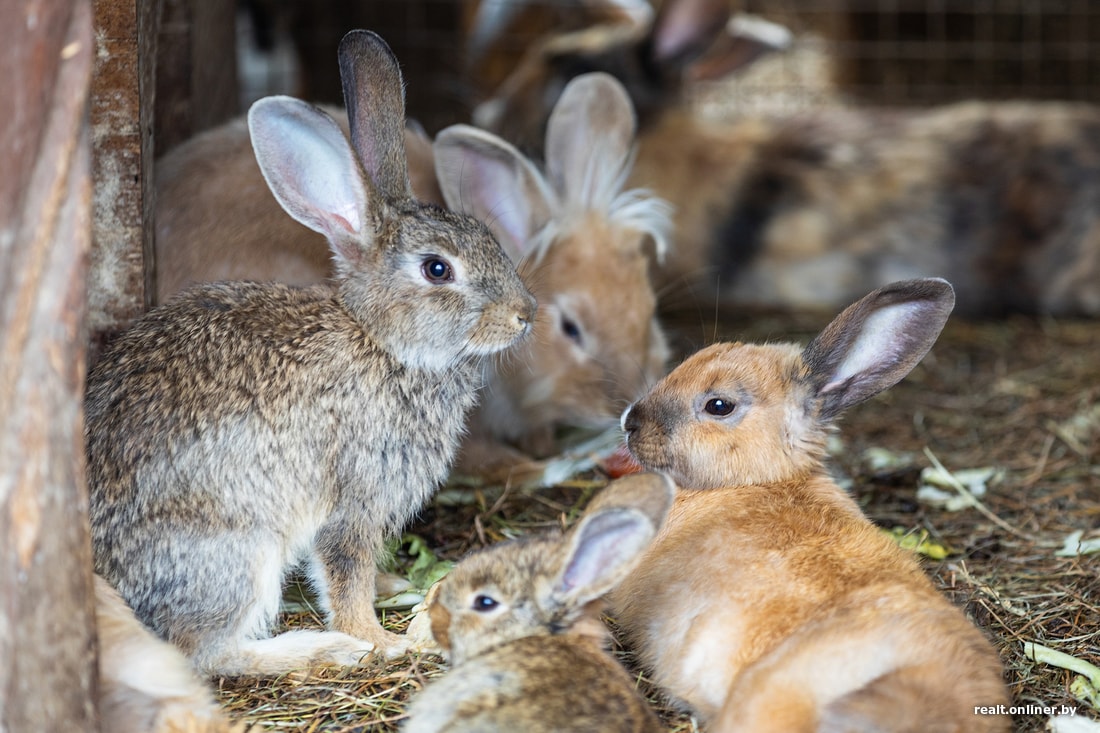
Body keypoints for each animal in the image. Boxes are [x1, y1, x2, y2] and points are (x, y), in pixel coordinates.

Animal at [83, 31, 534, 677]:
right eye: (437, 269)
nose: (524, 315)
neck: (381, 342)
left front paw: (395, 587)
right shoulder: (355, 498)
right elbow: (344, 571)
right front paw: (380, 639)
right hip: (238, 552)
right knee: (208, 653)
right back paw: (324, 648)